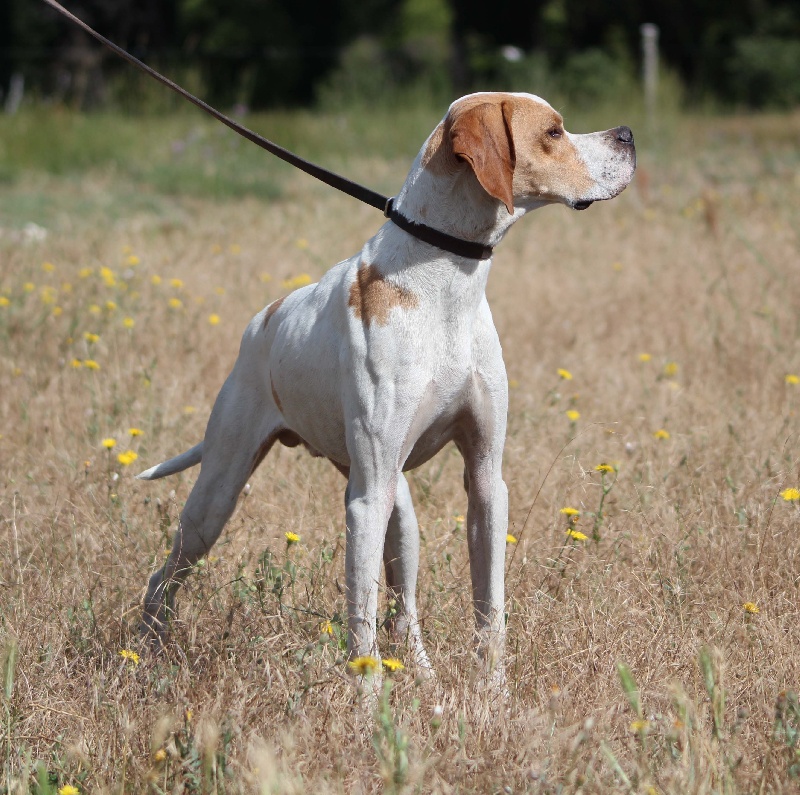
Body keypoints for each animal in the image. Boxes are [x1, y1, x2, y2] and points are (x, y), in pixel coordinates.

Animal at [139, 90, 636, 680]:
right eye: (554, 133)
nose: (628, 133)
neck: (444, 285)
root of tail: (263, 322)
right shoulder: (366, 500)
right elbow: (362, 631)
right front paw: (369, 702)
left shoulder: (486, 481)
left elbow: (490, 608)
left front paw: (493, 692)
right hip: (220, 498)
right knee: (162, 578)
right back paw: (145, 653)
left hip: (400, 515)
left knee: (405, 612)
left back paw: (425, 679)